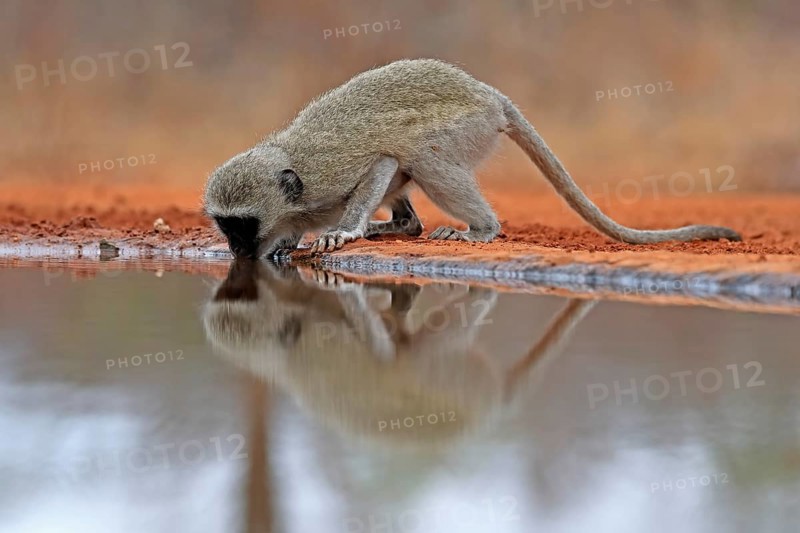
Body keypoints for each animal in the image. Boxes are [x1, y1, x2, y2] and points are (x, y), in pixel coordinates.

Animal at [203, 59, 740, 258]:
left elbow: (381, 163)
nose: (236, 251)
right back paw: (399, 227)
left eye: (243, 225)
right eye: (227, 227)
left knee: (422, 158)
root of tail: (491, 96)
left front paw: (344, 232)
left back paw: (481, 229)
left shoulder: (331, 179)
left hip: (468, 127)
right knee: (411, 196)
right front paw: (287, 243)